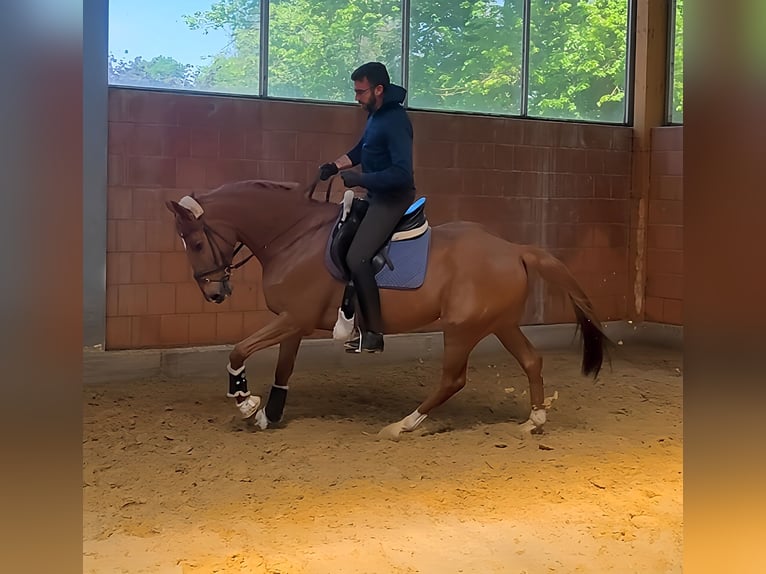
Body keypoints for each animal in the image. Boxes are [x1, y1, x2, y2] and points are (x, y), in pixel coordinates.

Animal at [168, 178, 612, 438]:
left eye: (196, 242)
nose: (214, 293)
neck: (293, 236)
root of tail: (513, 249)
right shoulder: (293, 323)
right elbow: (283, 370)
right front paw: (268, 414)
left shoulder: (292, 319)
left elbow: (238, 351)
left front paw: (245, 403)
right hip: (499, 323)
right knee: (532, 360)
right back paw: (534, 420)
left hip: (462, 328)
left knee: (453, 379)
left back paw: (402, 425)